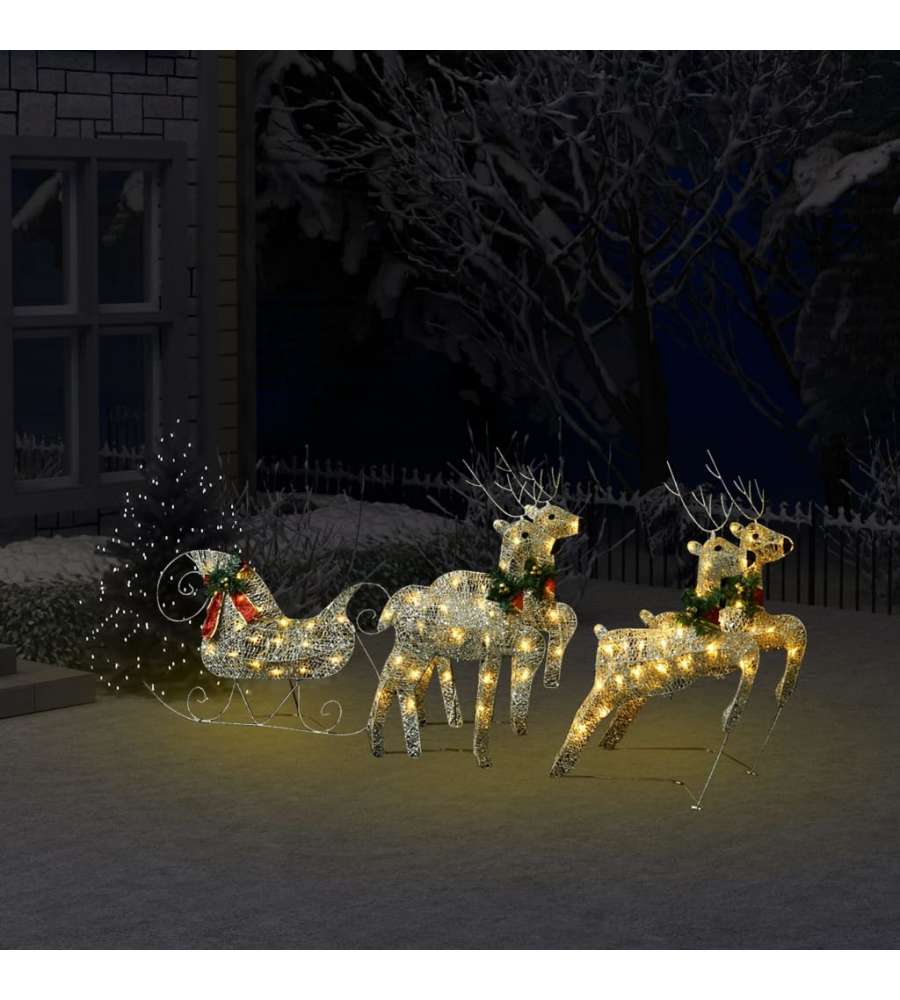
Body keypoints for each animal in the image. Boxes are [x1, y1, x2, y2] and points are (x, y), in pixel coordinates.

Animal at [368, 455, 581, 767]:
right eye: (548, 518)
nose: (577, 522)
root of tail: (398, 603)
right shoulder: (496, 648)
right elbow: (487, 699)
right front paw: (483, 756)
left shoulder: (520, 637)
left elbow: (558, 627)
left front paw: (520, 721)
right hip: (416, 648)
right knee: (399, 681)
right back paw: (413, 739)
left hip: (420, 649)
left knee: (394, 679)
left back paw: (388, 742)